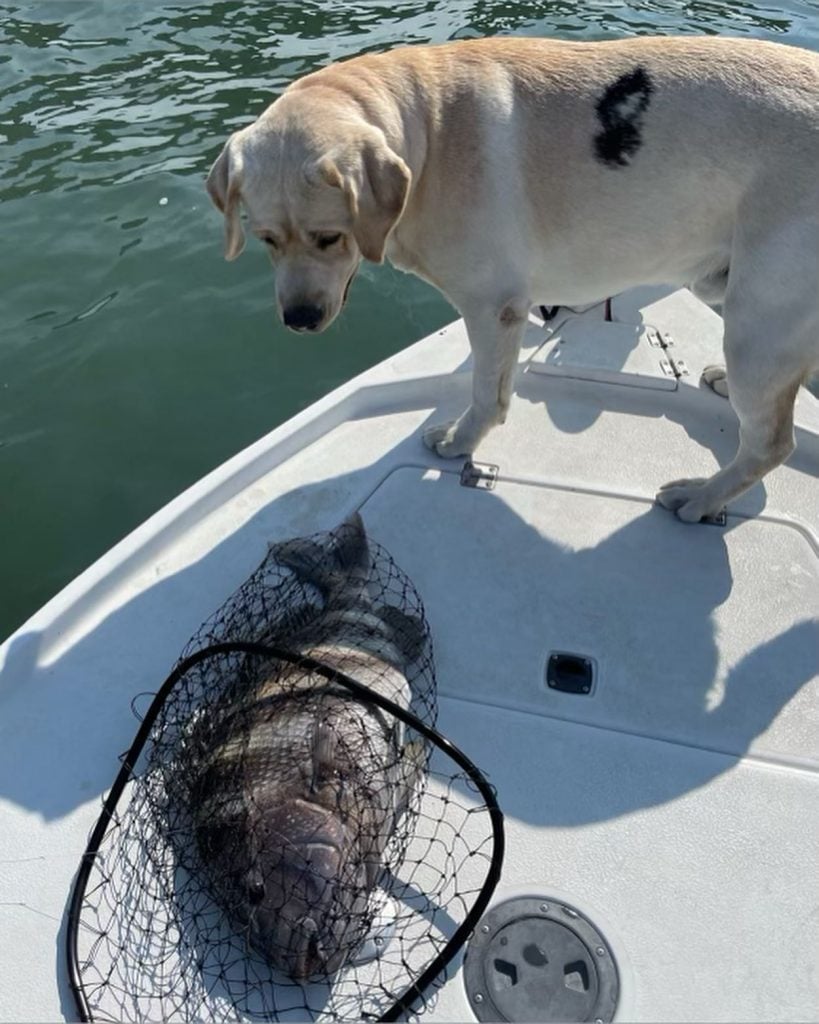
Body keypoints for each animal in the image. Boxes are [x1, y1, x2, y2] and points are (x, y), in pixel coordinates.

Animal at [206, 36, 818, 524]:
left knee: (772, 443)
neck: (424, 130)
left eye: (330, 237)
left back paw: (702, 496)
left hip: (758, 323)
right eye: (264, 238)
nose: (300, 320)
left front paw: (459, 441)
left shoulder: (491, 306)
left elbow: (486, 393)